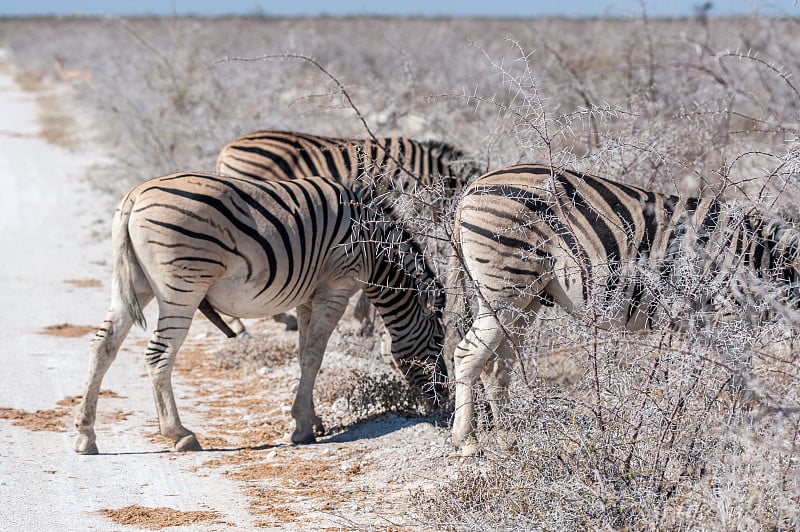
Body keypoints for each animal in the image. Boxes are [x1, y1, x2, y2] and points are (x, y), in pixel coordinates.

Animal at [73, 174, 450, 454]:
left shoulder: (308, 296)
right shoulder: (336, 289)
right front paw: (302, 428)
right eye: (438, 339)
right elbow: (314, 356)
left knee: (102, 346)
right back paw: (180, 434)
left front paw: (312, 420)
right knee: (158, 355)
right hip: (182, 285)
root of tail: (135, 196)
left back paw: (85, 435)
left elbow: (304, 355)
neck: (374, 248)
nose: (443, 399)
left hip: (134, 285)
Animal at [446, 164, 800, 456]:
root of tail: (472, 187)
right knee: (467, 355)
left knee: (497, 366)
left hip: (527, 299)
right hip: (505, 289)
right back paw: (467, 442)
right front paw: (749, 435)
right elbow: (741, 383)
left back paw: (508, 439)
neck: (768, 260)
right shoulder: (731, 319)